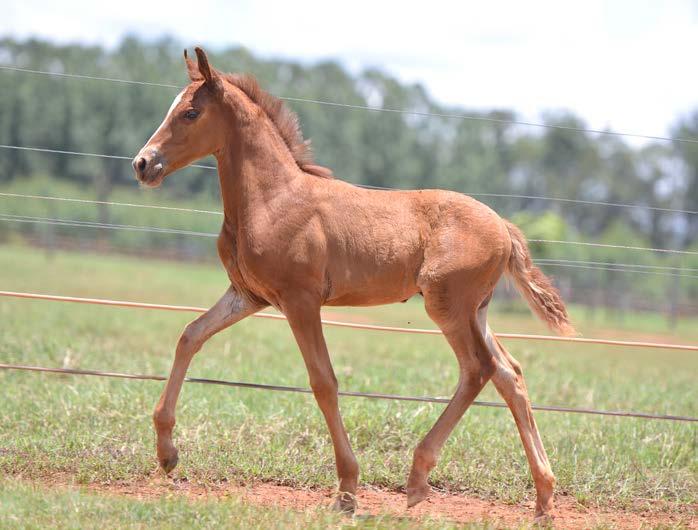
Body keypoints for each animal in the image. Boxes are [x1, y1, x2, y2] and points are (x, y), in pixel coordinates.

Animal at [133, 47, 572, 516]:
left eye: (190, 112)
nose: (143, 163)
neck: (272, 199)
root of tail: (504, 227)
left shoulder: (300, 300)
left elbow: (323, 381)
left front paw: (347, 488)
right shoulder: (248, 295)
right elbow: (190, 335)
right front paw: (167, 452)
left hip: (448, 306)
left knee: (478, 369)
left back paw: (419, 478)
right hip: (477, 310)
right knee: (510, 373)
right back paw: (543, 495)